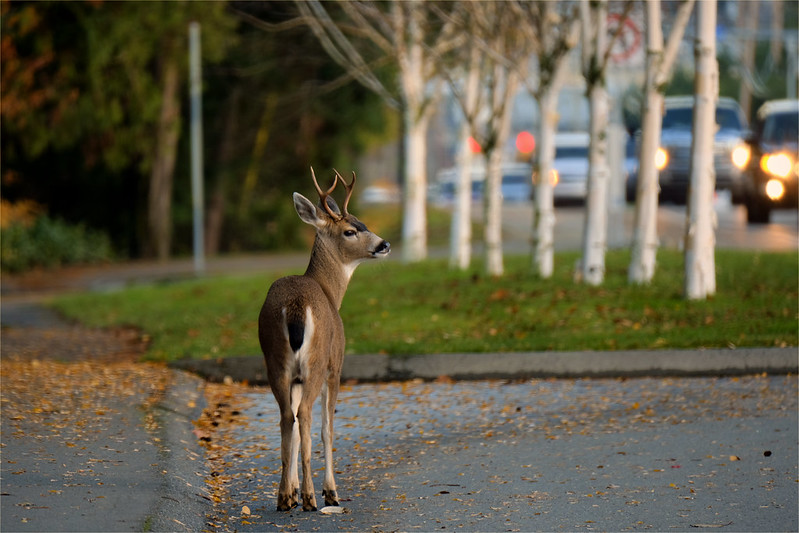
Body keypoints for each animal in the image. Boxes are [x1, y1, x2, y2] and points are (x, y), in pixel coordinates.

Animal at [258, 168, 390, 512]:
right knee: (305, 415)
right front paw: (330, 490)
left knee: (286, 417)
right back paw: (311, 497)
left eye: (362, 222)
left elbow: (294, 428)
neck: (331, 293)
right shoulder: (336, 364)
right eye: (350, 230)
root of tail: (294, 306)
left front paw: (290, 491)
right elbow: (327, 429)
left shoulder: (294, 376)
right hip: (316, 362)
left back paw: (285, 498)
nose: (384, 244)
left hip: (275, 362)